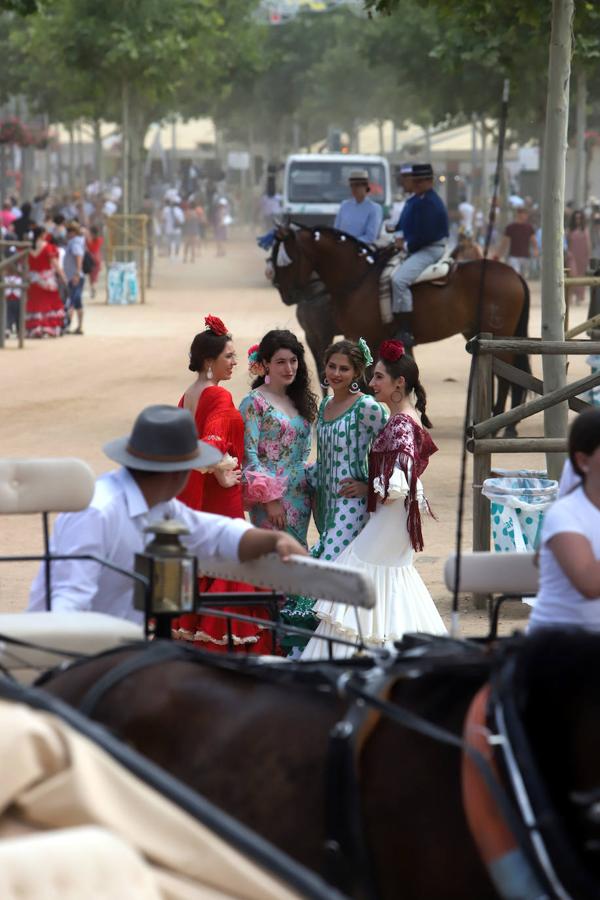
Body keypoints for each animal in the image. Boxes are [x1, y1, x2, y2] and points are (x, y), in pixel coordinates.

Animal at [272, 227, 528, 420]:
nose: (285, 294)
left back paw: (499, 420)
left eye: (287, 260)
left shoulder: (368, 340)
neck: (359, 279)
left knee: (506, 377)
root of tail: (514, 273)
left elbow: (368, 385)